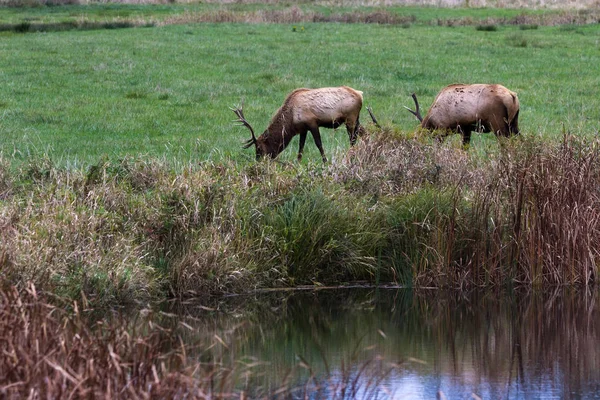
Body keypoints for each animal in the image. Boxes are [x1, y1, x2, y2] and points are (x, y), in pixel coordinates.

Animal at [231, 86, 364, 162]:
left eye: (258, 148)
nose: (258, 161)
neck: (291, 120)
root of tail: (360, 94)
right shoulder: (303, 128)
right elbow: (301, 147)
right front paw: (298, 163)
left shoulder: (312, 122)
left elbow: (319, 144)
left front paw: (325, 161)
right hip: (356, 119)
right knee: (362, 133)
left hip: (350, 118)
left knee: (353, 139)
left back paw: (352, 158)